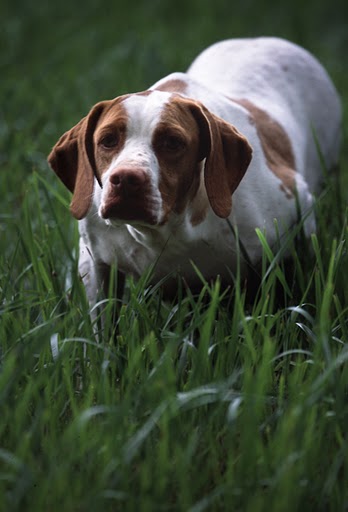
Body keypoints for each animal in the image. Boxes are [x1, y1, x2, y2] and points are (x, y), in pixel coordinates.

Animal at [47, 37, 342, 308]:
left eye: (172, 142)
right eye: (107, 140)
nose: (127, 180)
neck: (170, 228)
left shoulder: (296, 212)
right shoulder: (95, 264)